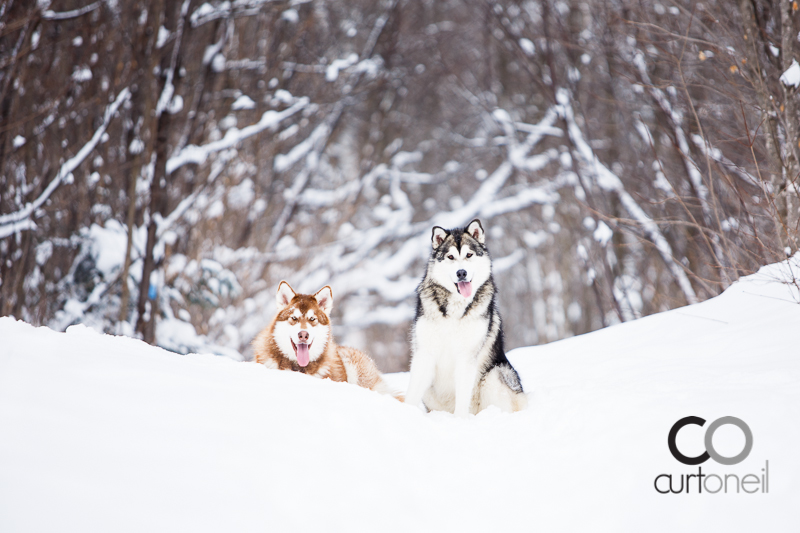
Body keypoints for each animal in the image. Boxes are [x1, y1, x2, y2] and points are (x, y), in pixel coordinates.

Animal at [406, 220, 524, 416]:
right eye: (450, 257)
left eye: (469, 255)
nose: (461, 273)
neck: (455, 309)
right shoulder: (425, 353)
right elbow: (412, 394)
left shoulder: (466, 357)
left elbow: (462, 398)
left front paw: (459, 420)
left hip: (496, 374)